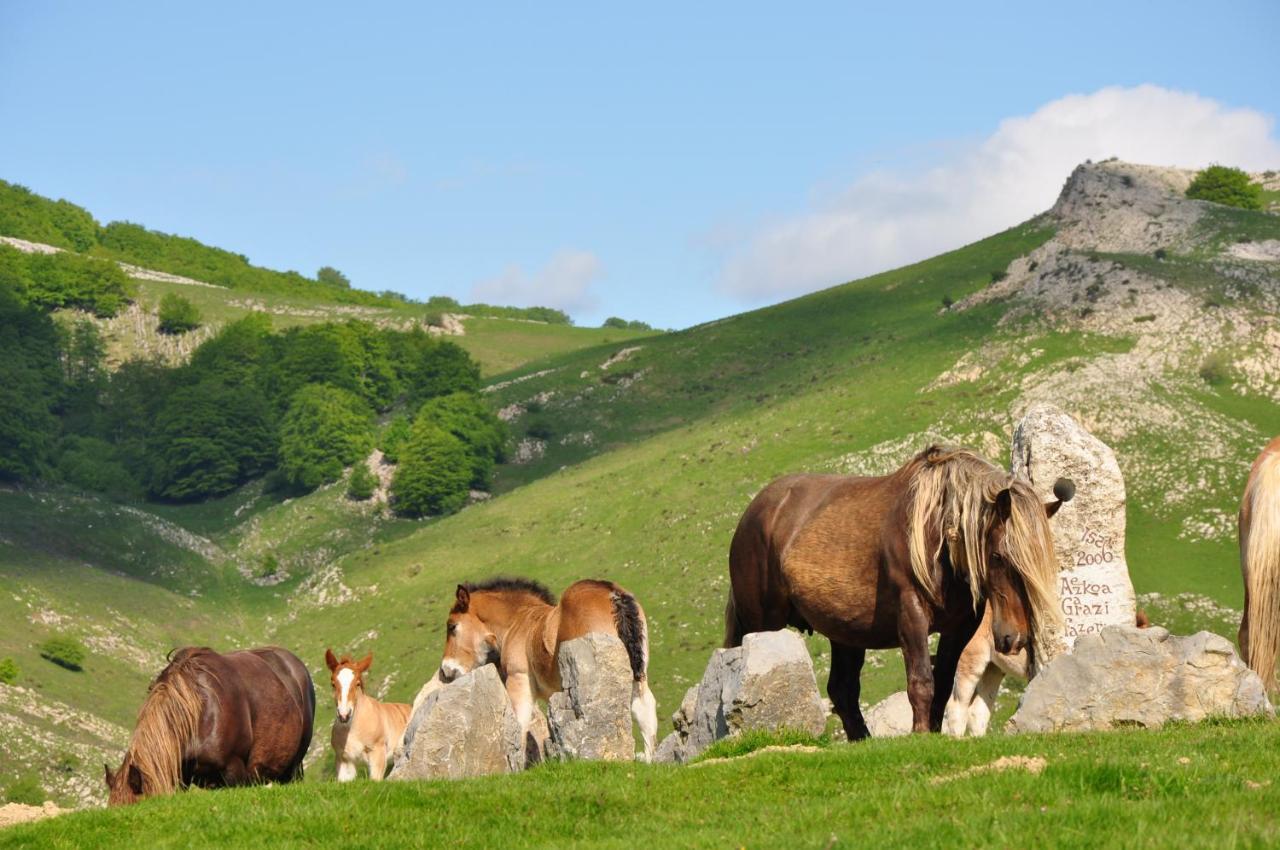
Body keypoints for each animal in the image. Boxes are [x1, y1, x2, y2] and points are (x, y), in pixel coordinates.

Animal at [325, 650, 409, 783]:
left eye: (358, 683)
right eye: (333, 684)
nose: (344, 715)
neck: (353, 731)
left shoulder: (377, 755)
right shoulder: (345, 761)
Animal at [440, 578, 660, 762]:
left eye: (452, 626)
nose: (445, 671)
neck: (518, 622)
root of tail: (613, 594)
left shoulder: (519, 681)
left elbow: (519, 725)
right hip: (638, 673)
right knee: (644, 708)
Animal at [732, 445, 1070, 737]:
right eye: (998, 556)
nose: (1014, 638)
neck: (934, 536)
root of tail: (754, 512)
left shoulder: (960, 627)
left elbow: (942, 684)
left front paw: (933, 733)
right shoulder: (912, 613)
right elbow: (921, 681)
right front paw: (919, 734)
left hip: (846, 635)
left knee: (843, 692)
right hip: (763, 626)